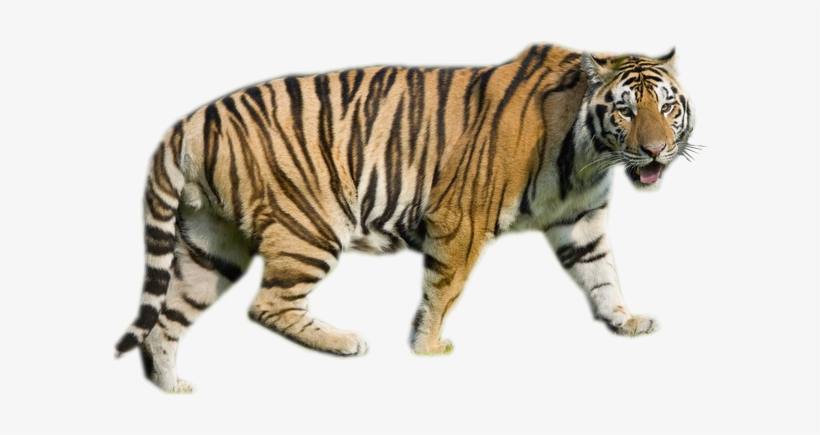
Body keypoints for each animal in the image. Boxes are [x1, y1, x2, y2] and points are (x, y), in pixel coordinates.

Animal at [115, 43, 697, 392]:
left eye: (667, 108)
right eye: (626, 109)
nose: (656, 151)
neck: (589, 156)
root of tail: (189, 121)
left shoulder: (581, 220)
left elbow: (603, 274)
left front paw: (626, 321)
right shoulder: (461, 219)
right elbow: (445, 288)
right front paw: (429, 347)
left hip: (210, 245)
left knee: (167, 319)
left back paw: (172, 387)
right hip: (311, 227)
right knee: (267, 305)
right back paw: (346, 342)